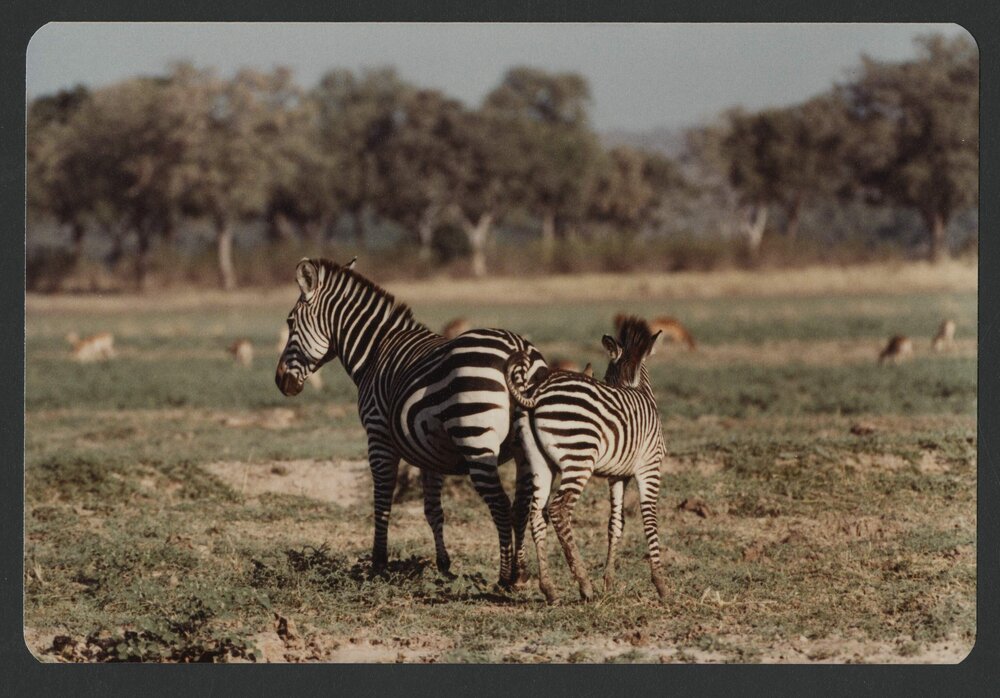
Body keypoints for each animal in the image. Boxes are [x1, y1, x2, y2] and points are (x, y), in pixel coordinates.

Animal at [275, 257, 547, 587]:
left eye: (290, 322)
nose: (280, 382)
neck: (375, 351)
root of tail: (517, 350)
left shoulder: (378, 435)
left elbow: (382, 502)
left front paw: (379, 563)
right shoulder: (432, 452)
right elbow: (433, 510)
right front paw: (443, 564)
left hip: (476, 440)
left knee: (501, 505)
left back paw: (506, 577)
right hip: (524, 450)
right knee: (522, 506)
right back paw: (521, 573)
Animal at [505, 316, 668, 604]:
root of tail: (536, 392)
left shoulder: (617, 476)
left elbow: (616, 523)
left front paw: (609, 582)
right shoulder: (650, 467)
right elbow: (649, 519)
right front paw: (660, 584)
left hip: (539, 462)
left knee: (535, 512)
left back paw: (549, 589)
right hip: (579, 455)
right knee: (558, 510)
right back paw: (584, 584)